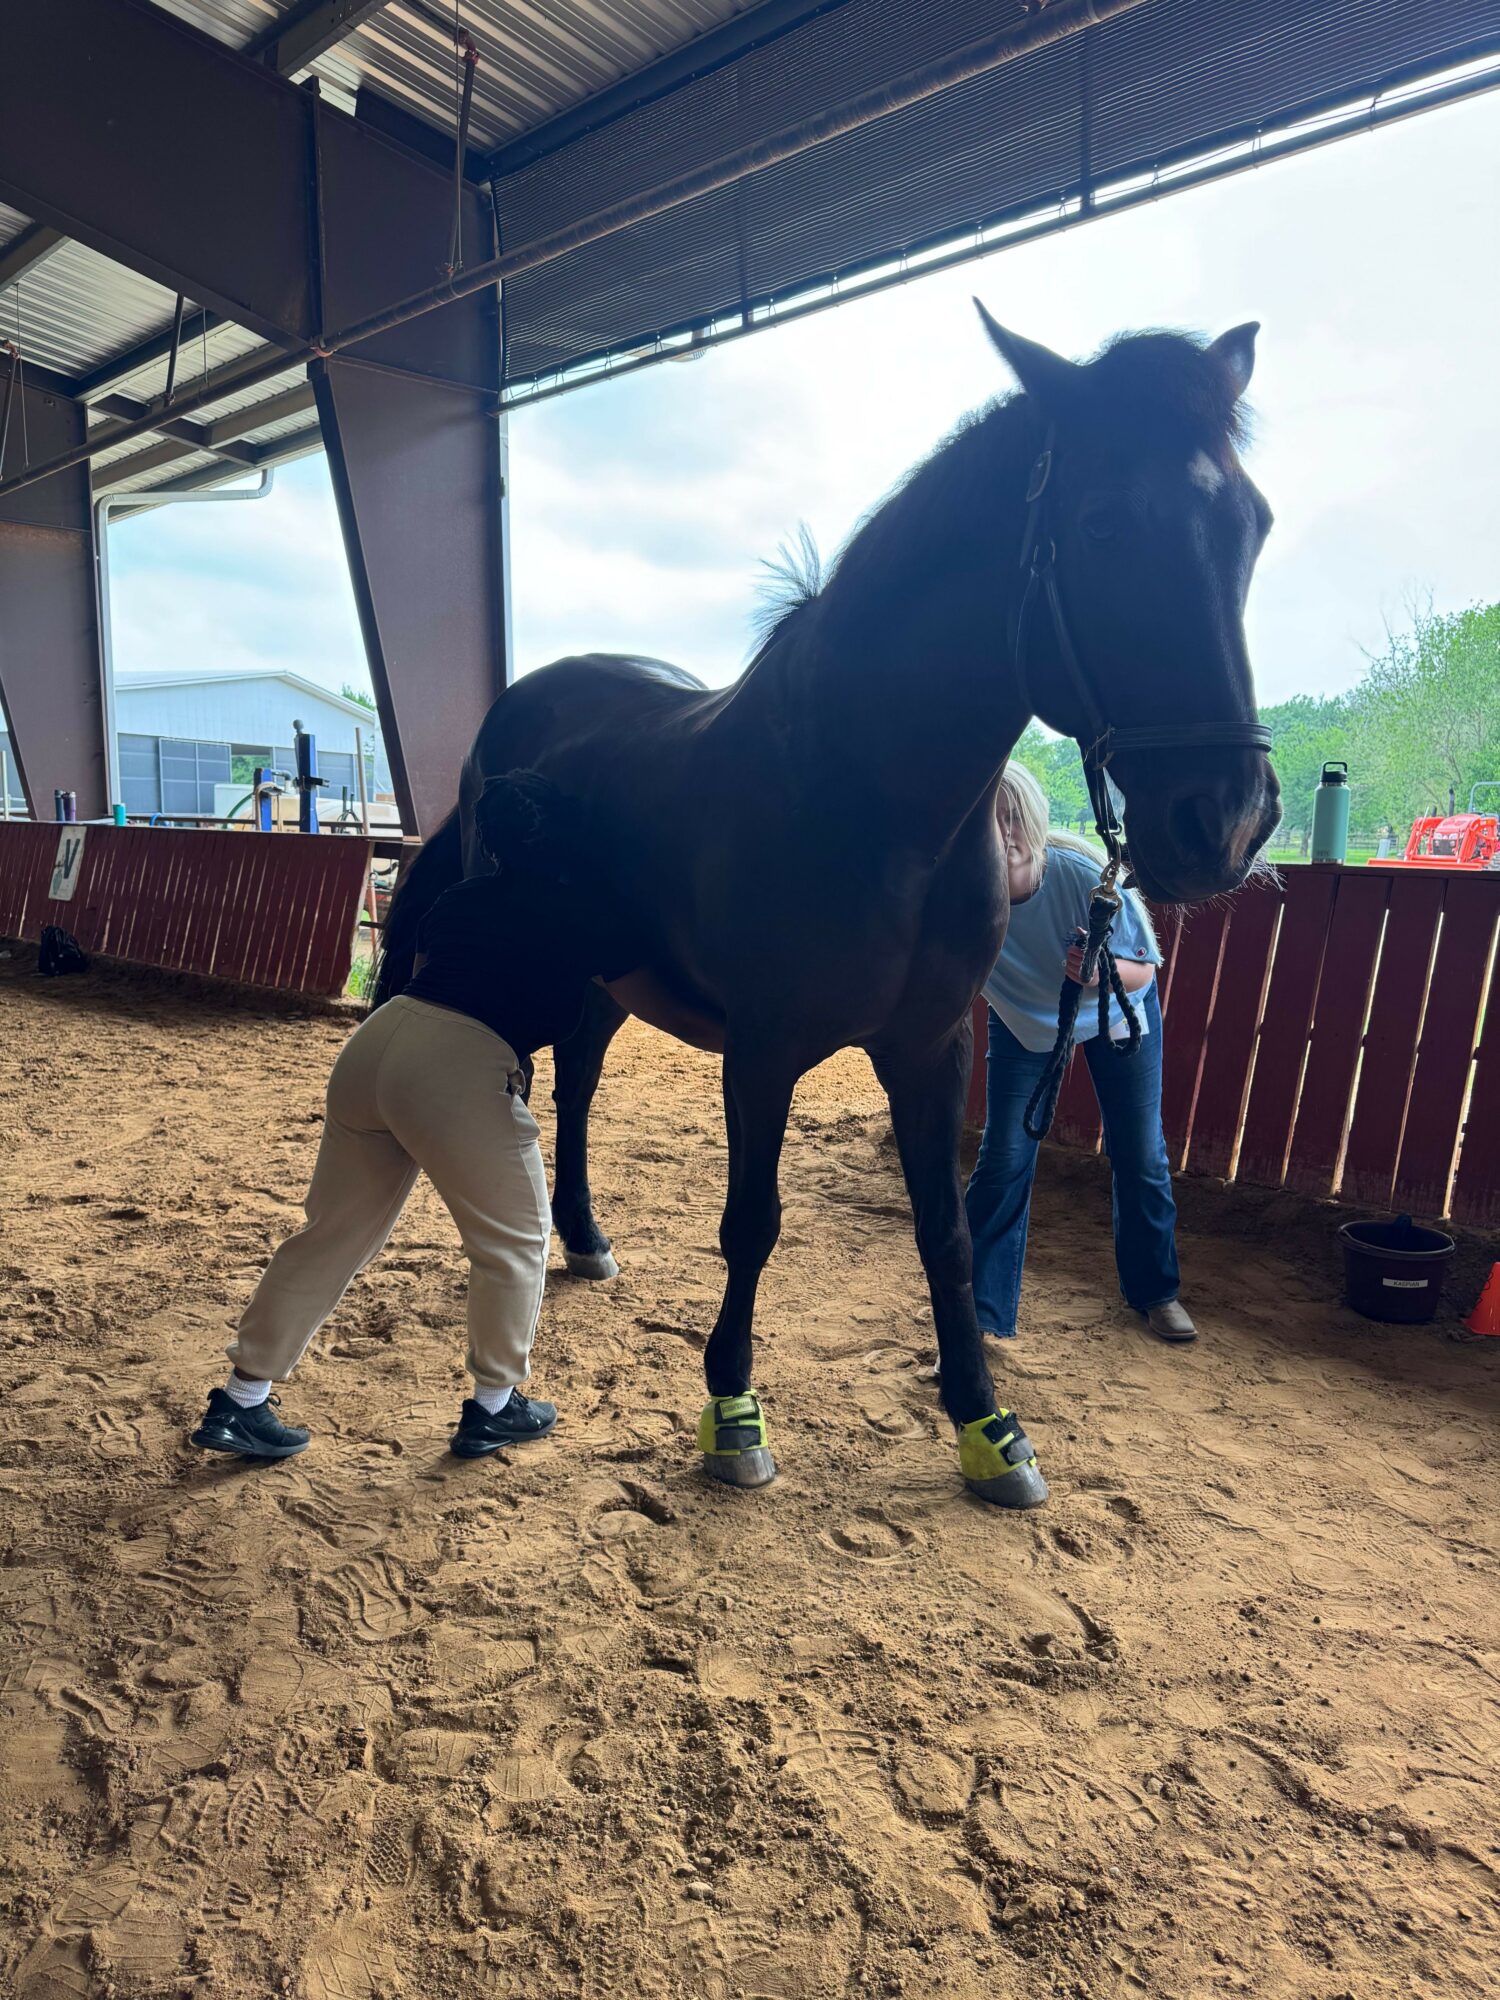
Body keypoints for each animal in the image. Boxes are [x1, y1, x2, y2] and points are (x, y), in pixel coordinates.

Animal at [375, 307, 1281, 1511]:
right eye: (1100, 524)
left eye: (1252, 525)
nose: (1225, 821)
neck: (870, 797)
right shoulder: (762, 1050)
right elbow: (751, 1223)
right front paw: (732, 1414)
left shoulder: (931, 1047)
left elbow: (947, 1231)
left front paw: (988, 1424)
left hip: (599, 977)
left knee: (577, 1087)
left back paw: (585, 1237)